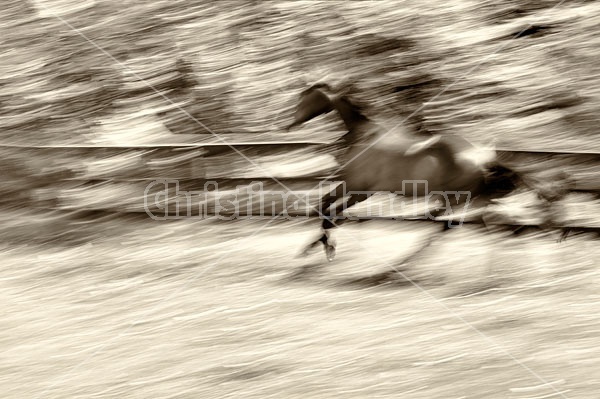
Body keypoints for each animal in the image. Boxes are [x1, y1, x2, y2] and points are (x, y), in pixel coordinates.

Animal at [290, 83, 536, 260]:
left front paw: (326, 247)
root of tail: (481, 159)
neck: (365, 136)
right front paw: (320, 245)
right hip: (464, 199)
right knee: (478, 224)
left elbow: (324, 209)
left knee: (452, 225)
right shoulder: (362, 192)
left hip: (457, 198)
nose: (292, 123)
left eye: (306, 98)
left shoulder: (355, 187)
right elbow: (327, 210)